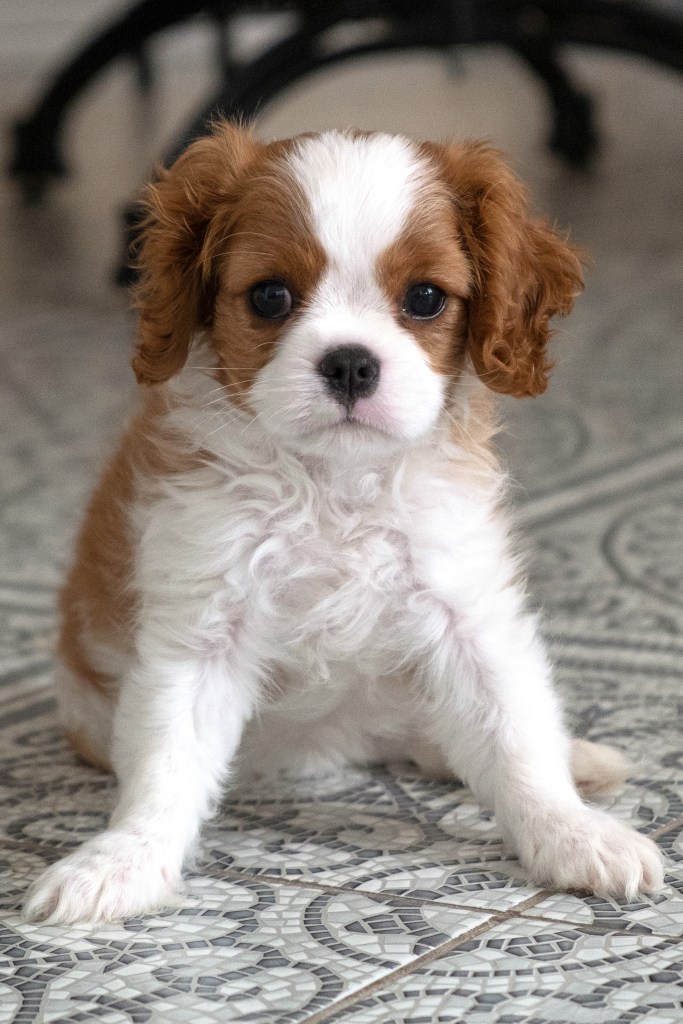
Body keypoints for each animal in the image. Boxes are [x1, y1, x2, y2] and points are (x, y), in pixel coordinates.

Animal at [25, 123, 663, 925]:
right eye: (270, 296)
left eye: (425, 298)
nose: (351, 364)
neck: (333, 485)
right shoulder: (199, 627)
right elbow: (165, 760)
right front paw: (122, 860)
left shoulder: (466, 611)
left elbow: (515, 737)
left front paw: (570, 832)